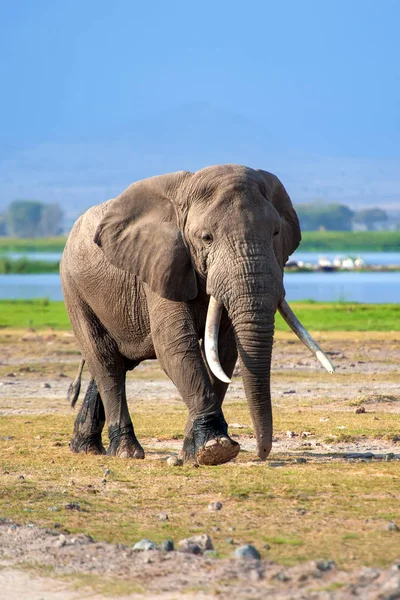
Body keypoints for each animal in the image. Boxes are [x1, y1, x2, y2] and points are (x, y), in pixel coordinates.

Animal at [60, 165, 334, 468]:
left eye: (275, 232)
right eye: (207, 238)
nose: (262, 452)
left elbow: (224, 351)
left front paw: (194, 454)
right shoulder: (162, 262)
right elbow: (175, 344)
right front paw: (217, 449)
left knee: (115, 361)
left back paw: (85, 448)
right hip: (74, 287)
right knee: (105, 361)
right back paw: (126, 452)